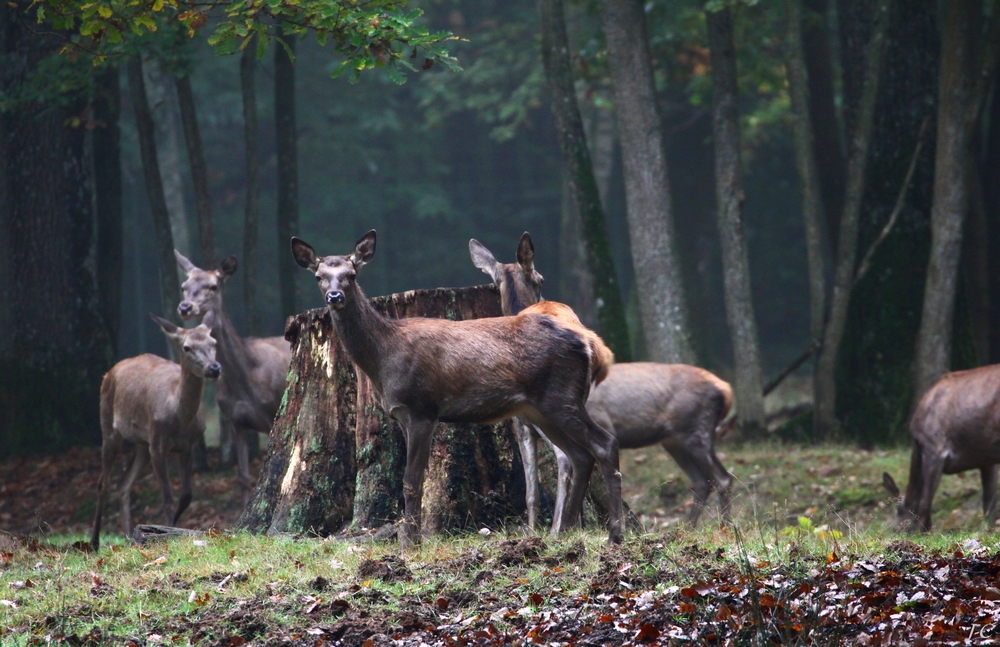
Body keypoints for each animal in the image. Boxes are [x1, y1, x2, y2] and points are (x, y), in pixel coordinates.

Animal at [90, 314, 221, 552]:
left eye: (213, 343)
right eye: (186, 347)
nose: (214, 368)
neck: (179, 418)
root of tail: (110, 371)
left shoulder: (188, 446)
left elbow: (186, 496)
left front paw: (170, 528)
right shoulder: (158, 444)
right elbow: (167, 499)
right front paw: (167, 534)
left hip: (142, 443)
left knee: (123, 484)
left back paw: (128, 538)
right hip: (109, 425)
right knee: (103, 482)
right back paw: (94, 542)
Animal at [175, 249, 292, 506]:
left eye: (213, 286)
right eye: (184, 286)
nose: (185, 307)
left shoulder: (272, 414)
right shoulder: (235, 420)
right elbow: (243, 477)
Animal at [288, 230, 624, 548]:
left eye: (352, 274)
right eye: (319, 276)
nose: (334, 296)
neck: (384, 358)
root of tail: (589, 343)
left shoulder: (422, 408)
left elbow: (411, 481)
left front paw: (409, 544)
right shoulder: (402, 415)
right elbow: (413, 480)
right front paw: (413, 539)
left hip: (560, 396)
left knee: (604, 443)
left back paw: (614, 535)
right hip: (539, 409)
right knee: (580, 456)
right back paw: (566, 531)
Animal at [468, 235, 736, 528]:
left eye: (541, 278)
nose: (545, 294)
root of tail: (727, 390)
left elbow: (562, 468)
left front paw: (557, 527)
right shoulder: (523, 424)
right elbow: (531, 493)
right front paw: (537, 529)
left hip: (689, 432)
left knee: (721, 478)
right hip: (673, 438)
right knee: (703, 480)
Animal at [884, 368, 1000, 536]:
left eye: (898, 511)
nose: (894, 531)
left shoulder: (934, 449)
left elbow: (925, 501)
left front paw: (922, 533)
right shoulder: (986, 457)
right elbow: (989, 502)